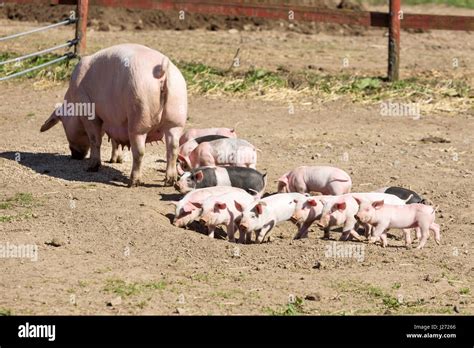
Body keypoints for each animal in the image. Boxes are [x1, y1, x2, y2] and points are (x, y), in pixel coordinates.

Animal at [39, 43, 187, 188]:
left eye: (64, 125)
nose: (75, 155)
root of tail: (163, 71)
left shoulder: (90, 115)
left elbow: (95, 140)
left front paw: (91, 168)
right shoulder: (114, 119)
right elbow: (115, 140)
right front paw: (115, 160)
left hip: (139, 116)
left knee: (139, 151)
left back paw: (132, 182)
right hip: (176, 118)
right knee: (173, 148)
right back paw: (169, 181)